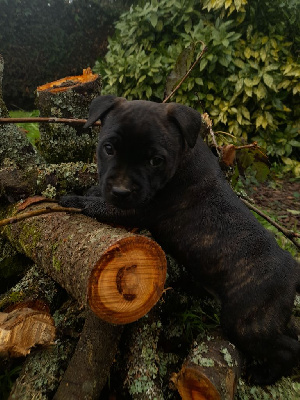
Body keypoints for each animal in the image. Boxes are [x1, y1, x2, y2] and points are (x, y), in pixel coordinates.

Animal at [59, 94, 298, 384]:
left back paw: (265, 376)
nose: (120, 191)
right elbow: (101, 196)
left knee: (288, 349)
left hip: (247, 324)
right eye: (108, 148)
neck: (184, 156)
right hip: (268, 319)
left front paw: (74, 200)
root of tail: (293, 270)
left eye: (155, 160)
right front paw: (92, 190)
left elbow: (103, 207)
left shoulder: (140, 209)